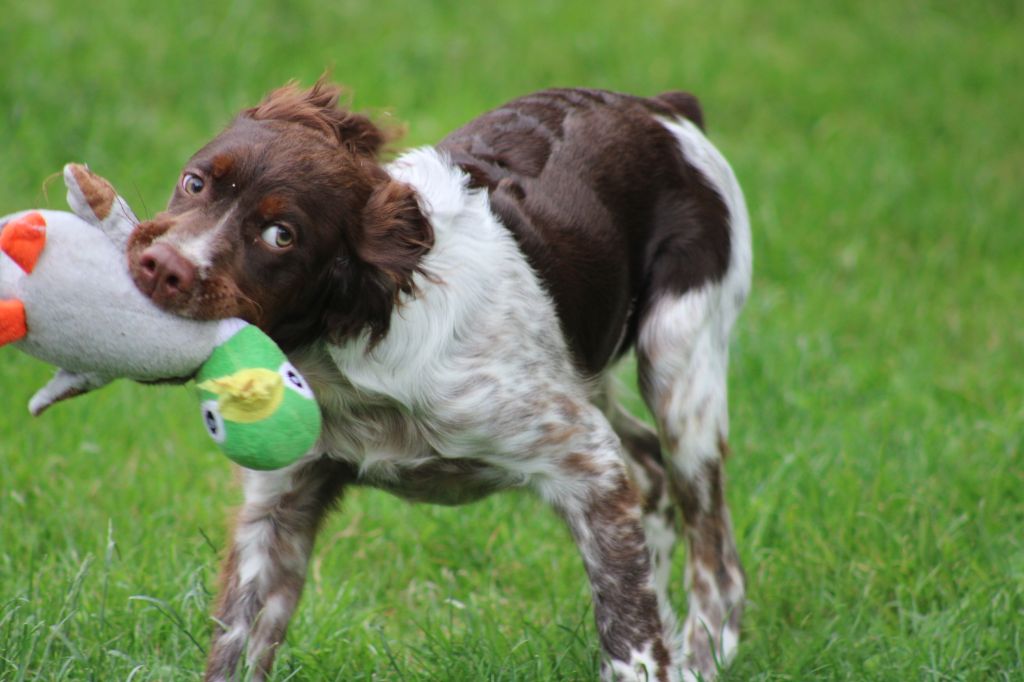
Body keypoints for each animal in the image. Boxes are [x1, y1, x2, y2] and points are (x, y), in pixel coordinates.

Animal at [125, 80, 753, 679]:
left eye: (281, 235)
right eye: (194, 182)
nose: (163, 267)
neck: (350, 353)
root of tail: (662, 110)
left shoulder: (585, 461)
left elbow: (630, 638)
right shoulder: (279, 503)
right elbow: (234, 643)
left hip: (679, 361)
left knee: (718, 567)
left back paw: (701, 658)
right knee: (648, 467)